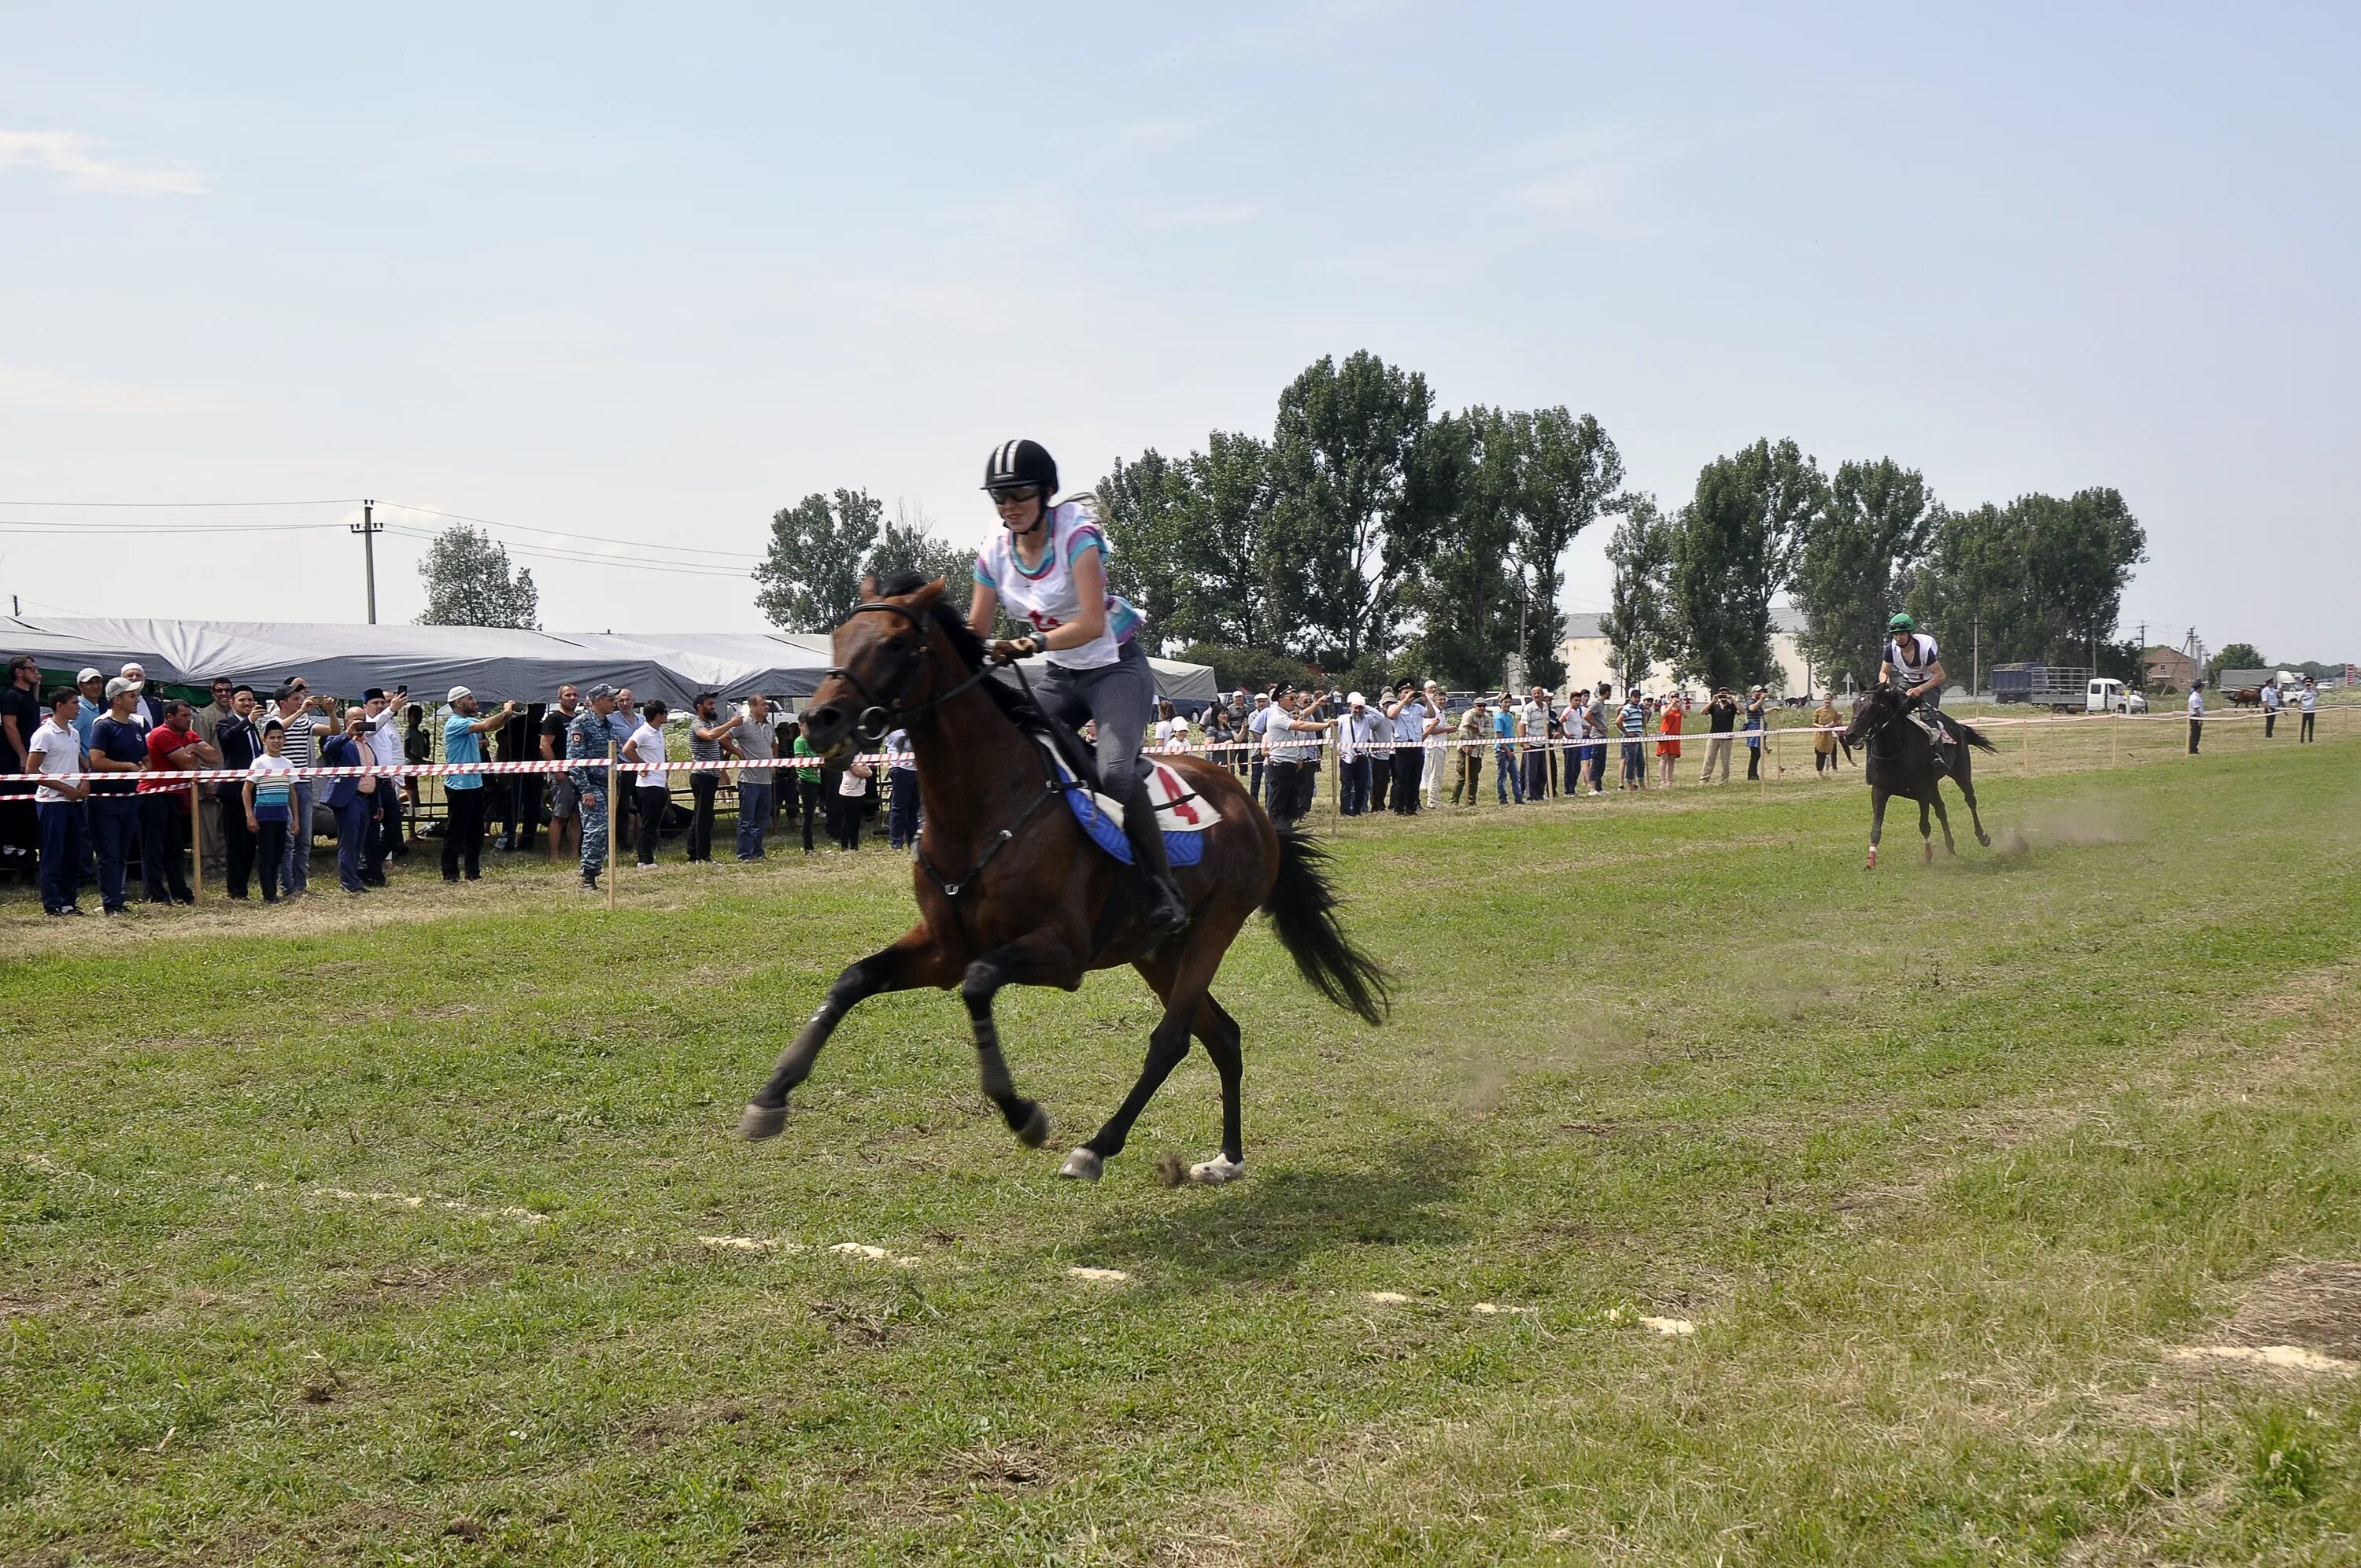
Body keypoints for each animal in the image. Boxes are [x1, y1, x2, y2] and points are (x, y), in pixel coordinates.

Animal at [732, 578, 1379, 1190]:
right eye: (839, 638)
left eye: (894, 642)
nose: (819, 719)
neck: (986, 806)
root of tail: (1253, 807)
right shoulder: (943, 947)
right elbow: (853, 979)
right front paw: (771, 1096)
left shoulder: (1060, 953)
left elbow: (978, 982)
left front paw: (1022, 1114)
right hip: (1156, 950)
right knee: (1222, 1034)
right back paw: (1227, 1159)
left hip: (1210, 932)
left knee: (1172, 1040)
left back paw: (1097, 1147)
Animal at [1842, 689, 1993, 869]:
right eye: (1855, 704)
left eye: (1873, 707)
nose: (1850, 735)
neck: (1895, 751)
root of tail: (1958, 727)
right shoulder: (1879, 791)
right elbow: (1876, 829)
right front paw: (1870, 862)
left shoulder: (1922, 791)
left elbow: (1924, 826)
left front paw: (1928, 856)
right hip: (1934, 785)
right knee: (1941, 809)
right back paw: (1950, 847)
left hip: (1960, 772)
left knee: (1970, 800)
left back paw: (1983, 837)